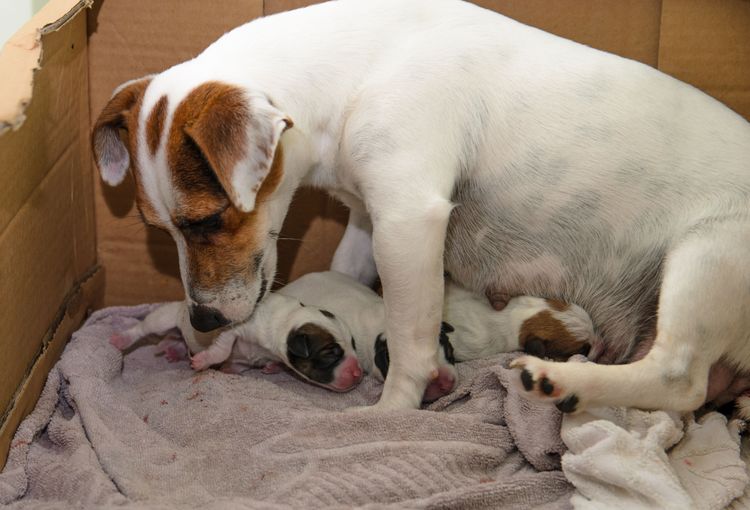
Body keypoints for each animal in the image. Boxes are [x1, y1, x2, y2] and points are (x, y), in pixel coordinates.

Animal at [111, 292, 364, 392]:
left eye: (354, 344)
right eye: (330, 353)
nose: (359, 374)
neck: (287, 318)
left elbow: (239, 365)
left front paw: (271, 367)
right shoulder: (233, 328)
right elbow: (222, 349)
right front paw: (203, 361)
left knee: (174, 341)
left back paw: (173, 350)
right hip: (166, 316)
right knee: (145, 327)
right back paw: (121, 338)